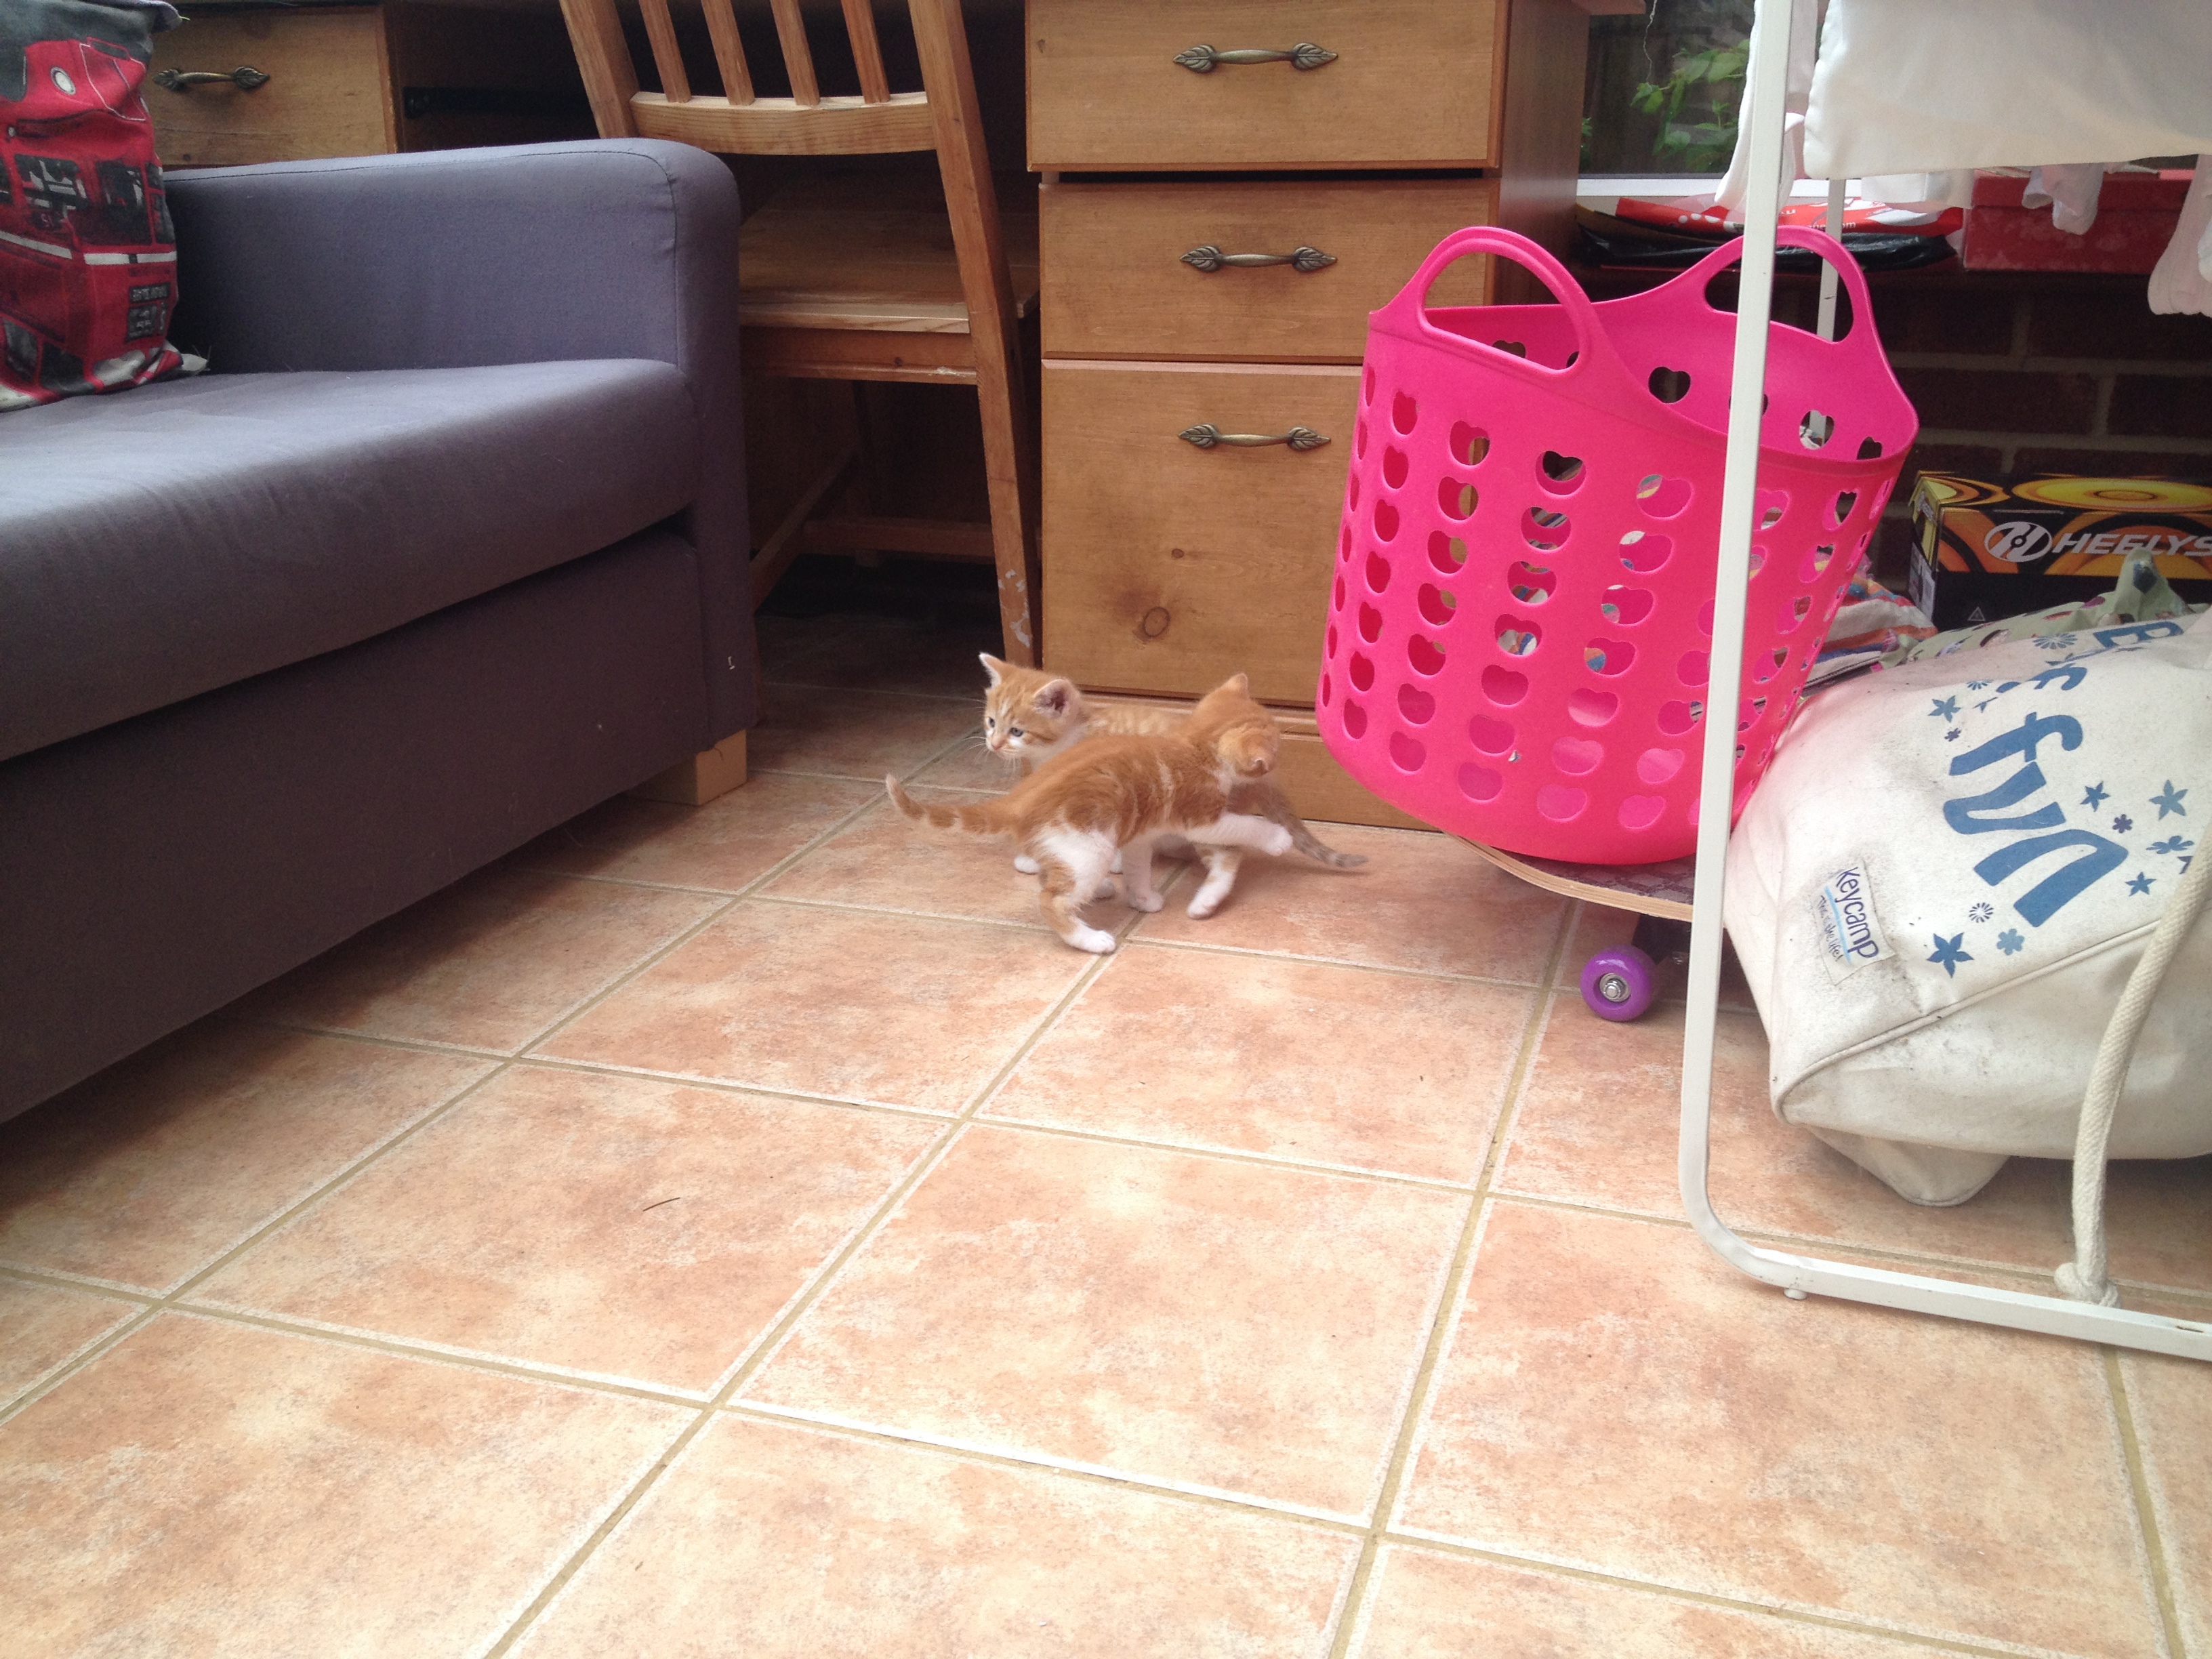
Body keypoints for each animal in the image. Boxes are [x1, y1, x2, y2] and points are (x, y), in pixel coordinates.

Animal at [887, 675, 1295, 953]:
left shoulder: (1141, 832)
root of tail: (1019, 799)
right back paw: (1089, 939)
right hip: (1088, 845)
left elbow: (1137, 864)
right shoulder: (1199, 814)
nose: (1280, 761)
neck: (1192, 742)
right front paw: (1276, 837)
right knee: (1050, 899)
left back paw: (1097, 891)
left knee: (1052, 876)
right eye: (1276, 747)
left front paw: (1142, 898)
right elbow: (1243, 825)